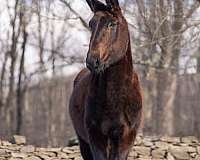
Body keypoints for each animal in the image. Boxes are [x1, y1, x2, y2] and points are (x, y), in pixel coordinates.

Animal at [69, 0, 142, 159]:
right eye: (91, 24)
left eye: (112, 24)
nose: (92, 61)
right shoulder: (96, 138)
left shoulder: (126, 138)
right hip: (83, 141)